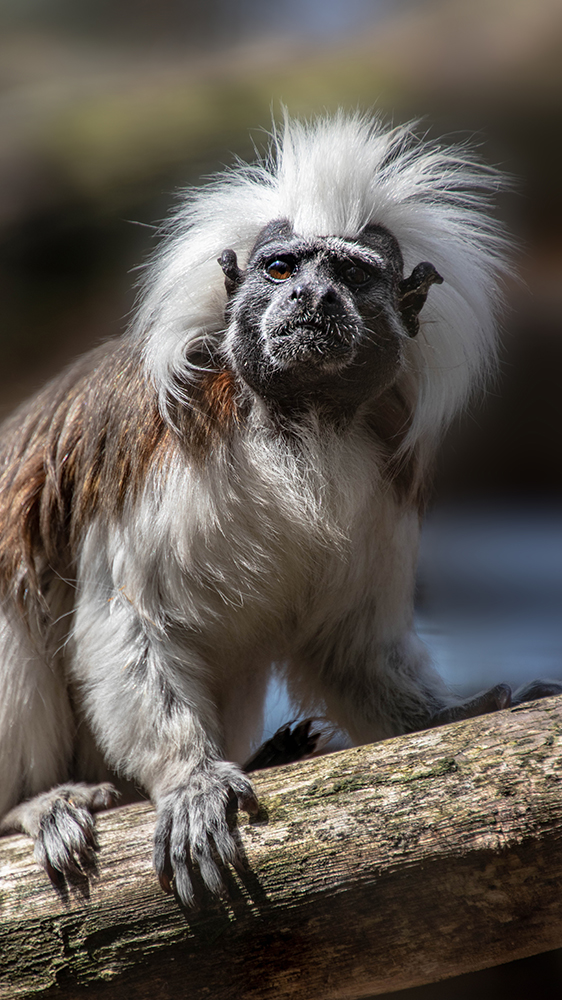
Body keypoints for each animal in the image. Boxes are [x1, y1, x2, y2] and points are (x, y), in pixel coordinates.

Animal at [0, 111, 556, 908]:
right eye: (283, 269)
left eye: (350, 275)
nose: (313, 300)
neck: (297, 423)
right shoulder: (148, 458)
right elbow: (128, 621)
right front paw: (190, 778)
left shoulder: (381, 483)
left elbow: (351, 645)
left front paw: (461, 710)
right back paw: (36, 804)